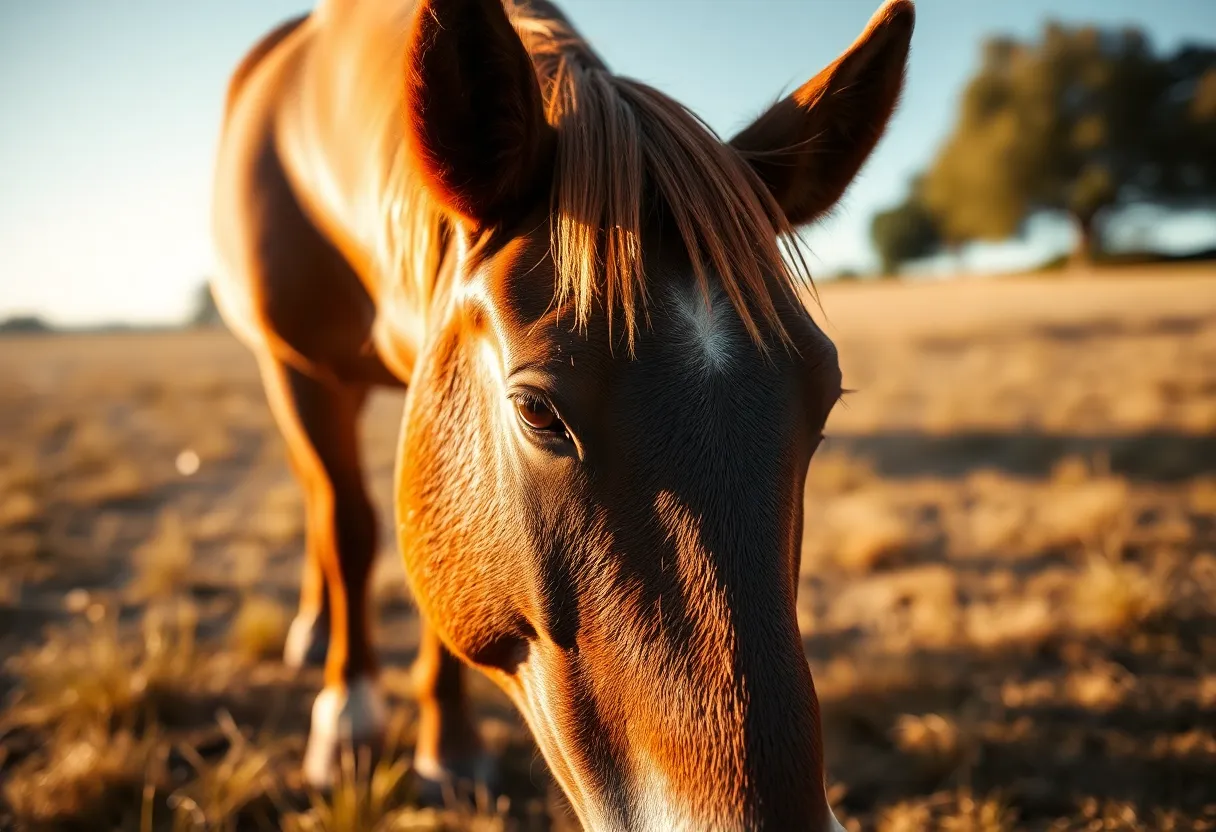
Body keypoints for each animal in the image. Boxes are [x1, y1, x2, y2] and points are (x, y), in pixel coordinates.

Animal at [210, 0, 913, 827]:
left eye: (825, 398)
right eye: (536, 410)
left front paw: (449, 748)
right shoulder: (300, 372)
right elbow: (350, 527)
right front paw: (348, 722)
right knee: (323, 501)